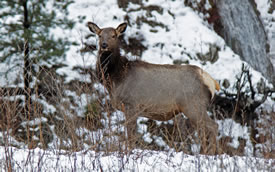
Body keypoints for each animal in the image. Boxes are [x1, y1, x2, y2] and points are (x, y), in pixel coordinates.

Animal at [87, 21, 221, 155]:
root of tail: (212, 82)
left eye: (114, 35)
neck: (116, 79)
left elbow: (131, 134)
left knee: (212, 126)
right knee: (203, 130)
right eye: (99, 35)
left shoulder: (132, 104)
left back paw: (210, 153)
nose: (104, 45)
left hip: (193, 104)